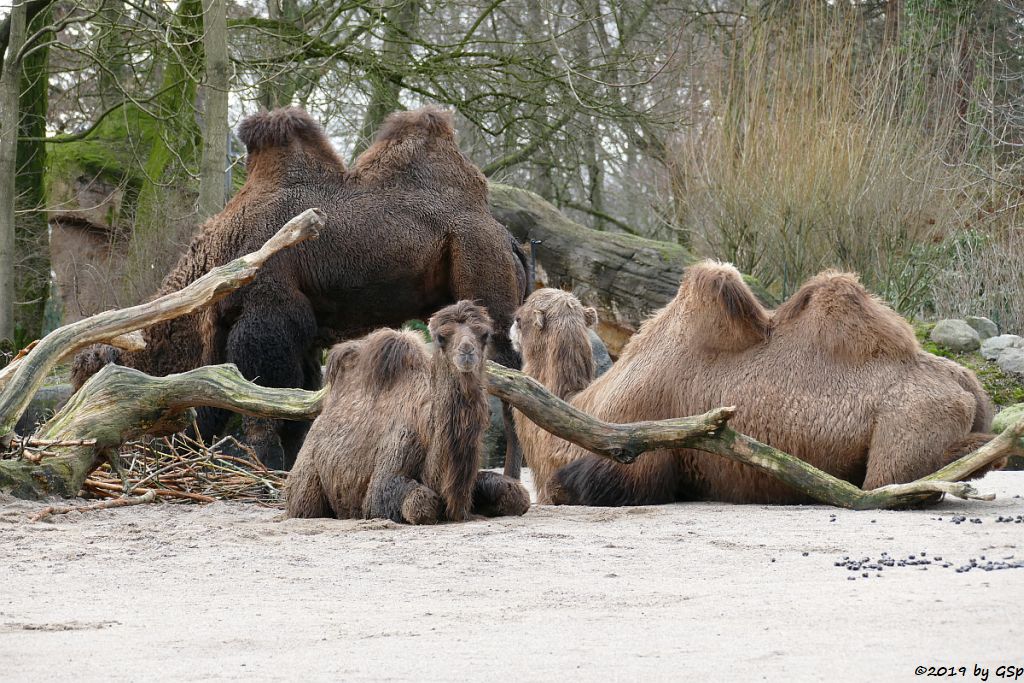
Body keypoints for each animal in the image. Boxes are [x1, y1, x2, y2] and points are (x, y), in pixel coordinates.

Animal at [70, 107, 528, 473]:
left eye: (100, 388)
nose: (90, 448)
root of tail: (506, 237)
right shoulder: (295, 332)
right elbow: (289, 401)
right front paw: (288, 468)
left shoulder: (268, 317)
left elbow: (264, 397)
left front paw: (266, 470)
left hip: (479, 266)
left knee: (510, 375)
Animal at [286, 301, 528, 524]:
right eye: (441, 337)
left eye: (484, 334)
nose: (467, 351)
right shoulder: (394, 456)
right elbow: (419, 503)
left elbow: (519, 496)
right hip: (306, 479)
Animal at [512, 262, 999, 507]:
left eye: (521, 316)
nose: (509, 326)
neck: (586, 407)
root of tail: (971, 386)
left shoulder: (637, 454)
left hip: (908, 423)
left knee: (899, 483)